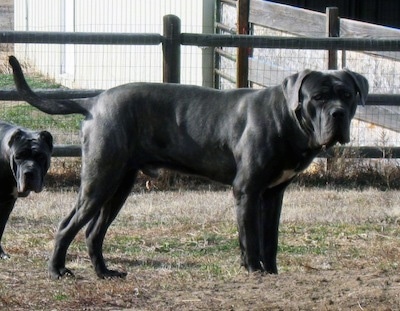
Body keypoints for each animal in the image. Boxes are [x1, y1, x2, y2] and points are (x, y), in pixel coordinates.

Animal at [7, 56, 368, 280]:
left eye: (347, 94)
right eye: (318, 97)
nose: (338, 114)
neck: (286, 118)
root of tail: (93, 101)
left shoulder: (273, 194)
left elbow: (270, 240)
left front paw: (272, 273)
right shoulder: (247, 190)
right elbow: (250, 237)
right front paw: (254, 271)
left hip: (120, 184)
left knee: (94, 232)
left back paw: (105, 273)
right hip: (100, 180)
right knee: (67, 224)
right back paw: (57, 271)